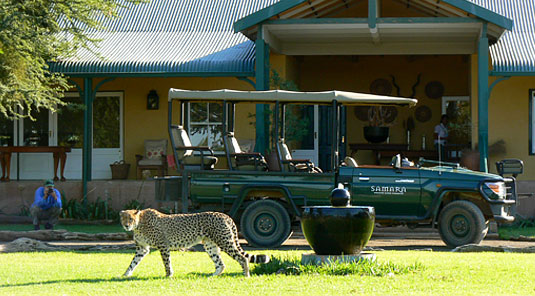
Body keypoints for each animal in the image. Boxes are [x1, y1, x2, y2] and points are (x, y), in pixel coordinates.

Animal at [122, 209, 272, 276]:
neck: (139, 224)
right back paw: (212, 276)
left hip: (224, 241)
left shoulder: (163, 246)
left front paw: (169, 274)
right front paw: (126, 274)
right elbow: (133, 262)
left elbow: (166, 262)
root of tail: (224, 215)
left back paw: (246, 275)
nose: (126, 226)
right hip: (210, 245)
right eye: (123, 218)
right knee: (221, 263)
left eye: (130, 219)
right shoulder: (142, 248)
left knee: (241, 258)